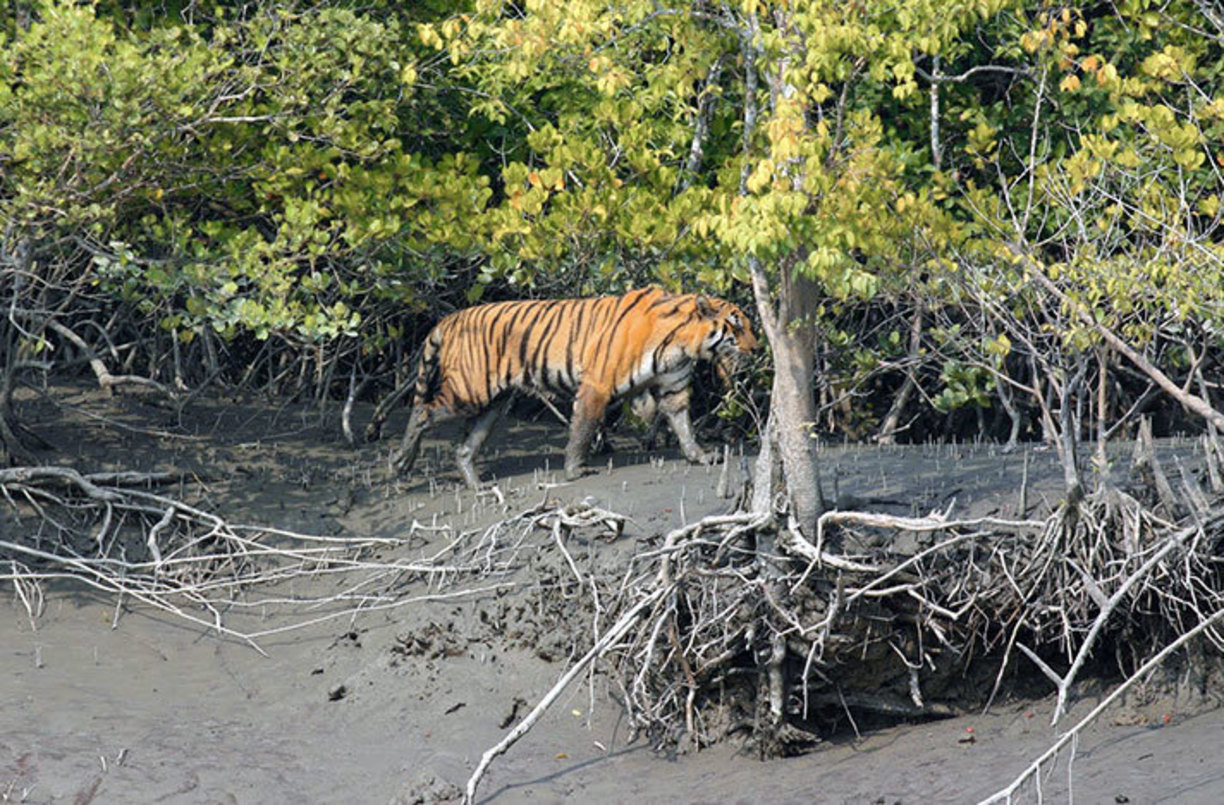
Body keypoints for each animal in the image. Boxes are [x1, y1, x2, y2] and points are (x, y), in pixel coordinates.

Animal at [386, 285, 758, 486]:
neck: (684, 344)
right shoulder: (597, 384)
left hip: (492, 404)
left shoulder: (673, 389)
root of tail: (450, 317)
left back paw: (476, 485)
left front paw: (700, 456)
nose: (756, 349)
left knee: (464, 446)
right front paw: (575, 470)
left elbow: (683, 425)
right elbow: (583, 427)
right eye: (737, 326)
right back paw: (401, 461)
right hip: (469, 391)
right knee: (423, 411)